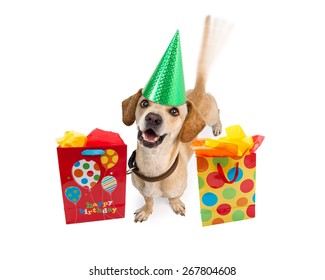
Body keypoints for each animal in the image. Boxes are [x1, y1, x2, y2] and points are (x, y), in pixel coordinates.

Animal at [121, 16, 228, 222]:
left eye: (174, 111)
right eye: (144, 103)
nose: (153, 118)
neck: (153, 165)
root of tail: (199, 89)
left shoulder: (177, 191)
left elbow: (174, 198)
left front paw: (176, 205)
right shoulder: (143, 191)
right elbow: (149, 200)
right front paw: (146, 210)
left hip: (211, 115)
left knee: (218, 112)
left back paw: (218, 126)